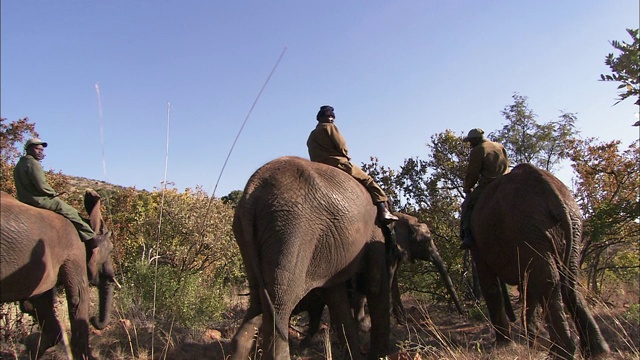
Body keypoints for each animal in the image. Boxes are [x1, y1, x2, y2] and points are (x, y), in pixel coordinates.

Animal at [0, 190, 115, 358]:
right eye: (111, 250)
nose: (94, 319)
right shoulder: (75, 251)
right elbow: (78, 299)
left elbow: (37, 304)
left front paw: (31, 347)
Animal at [230, 157, 450, 360]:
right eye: (428, 239)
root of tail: (252, 192)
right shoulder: (376, 237)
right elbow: (375, 287)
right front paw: (379, 355)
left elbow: (336, 297)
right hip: (291, 229)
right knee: (279, 304)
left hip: (252, 234)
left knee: (258, 302)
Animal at [470, 164, 608, 360]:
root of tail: (550, 191)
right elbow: (527, 283)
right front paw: (531, 340)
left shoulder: (477, 238)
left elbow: (491, 284)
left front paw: (504, 345)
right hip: (568, 225)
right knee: (568, 278)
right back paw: (597, 351)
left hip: (527, 226)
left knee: (547, 281)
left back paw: (562, 352)